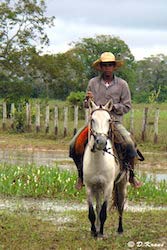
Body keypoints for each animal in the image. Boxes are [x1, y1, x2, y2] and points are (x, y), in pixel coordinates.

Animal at [83, 100, 127, 237]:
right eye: (92, 119)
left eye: (109, 120)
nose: (101, 142)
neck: (98, 162)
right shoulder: (89, 187)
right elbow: (92, 212)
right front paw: (94, 231)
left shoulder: (108, 187)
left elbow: (103, 212)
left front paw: (101, 233)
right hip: (97, 188)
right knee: (97, 206)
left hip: (122, 184)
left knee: (121, 205)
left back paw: (120, 229)